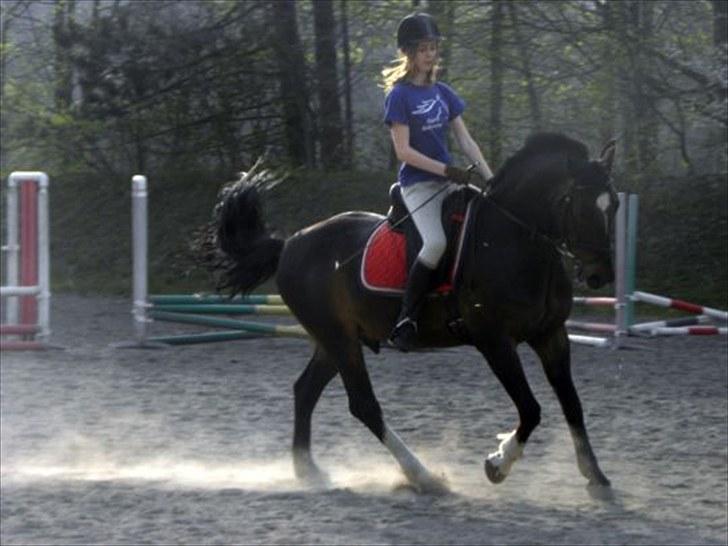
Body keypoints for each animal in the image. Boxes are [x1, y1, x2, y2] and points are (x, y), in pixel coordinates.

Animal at [202, 133, 616, 492]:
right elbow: (531, 409)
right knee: (364, 405)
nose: (601, 275)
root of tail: (289, 244)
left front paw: (596, 476)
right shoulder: (495, 342)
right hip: (338, 339)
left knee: (305, 391)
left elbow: (573, 405)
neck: (514, 240)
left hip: (336, 340)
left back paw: (308, 470)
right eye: (582, 207)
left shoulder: (552, 335)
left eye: (613, 205)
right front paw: (497, 463)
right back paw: (423, 475)